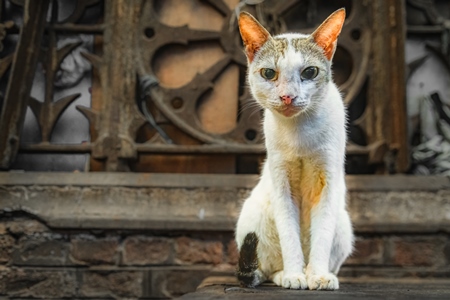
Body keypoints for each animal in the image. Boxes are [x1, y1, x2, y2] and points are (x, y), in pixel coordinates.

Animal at [234, 8, 354, 290]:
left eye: (309, 72)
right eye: (269, 74)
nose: (288, 96)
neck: (300, 132)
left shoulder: (328, 181)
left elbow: (321, 236)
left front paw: (319, 276)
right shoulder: (282, 182)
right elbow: (290, 235)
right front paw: (293, 275)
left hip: (343, 225)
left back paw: (315, 272)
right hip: (252, 218)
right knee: (266, 270)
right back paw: (287, 274)